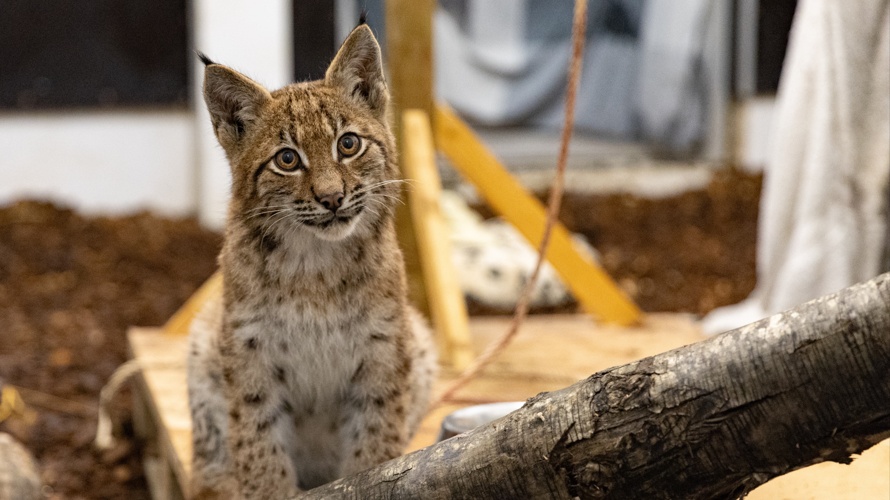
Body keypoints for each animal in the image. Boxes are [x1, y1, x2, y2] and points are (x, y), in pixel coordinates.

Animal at [188, 21, 438, 498]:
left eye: (349, 144)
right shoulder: (249, 349)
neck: (314, 264)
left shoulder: (383, 348)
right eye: (287, 159)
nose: (332, 198)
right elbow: (259, 446)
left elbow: (375, 448)